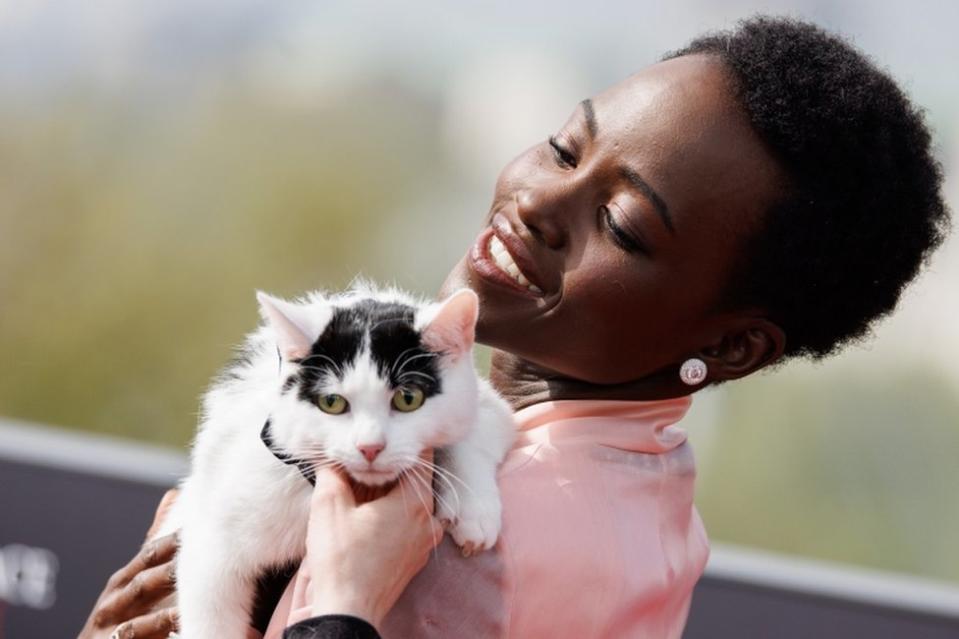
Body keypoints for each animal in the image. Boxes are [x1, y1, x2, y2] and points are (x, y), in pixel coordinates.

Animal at [156, 284, 516, 639]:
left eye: (408, 398)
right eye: (332, 403)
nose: (370, 447)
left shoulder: (488, 403)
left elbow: (479, 425)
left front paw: (473, 509)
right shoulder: (214, 539)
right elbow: (210, 606)